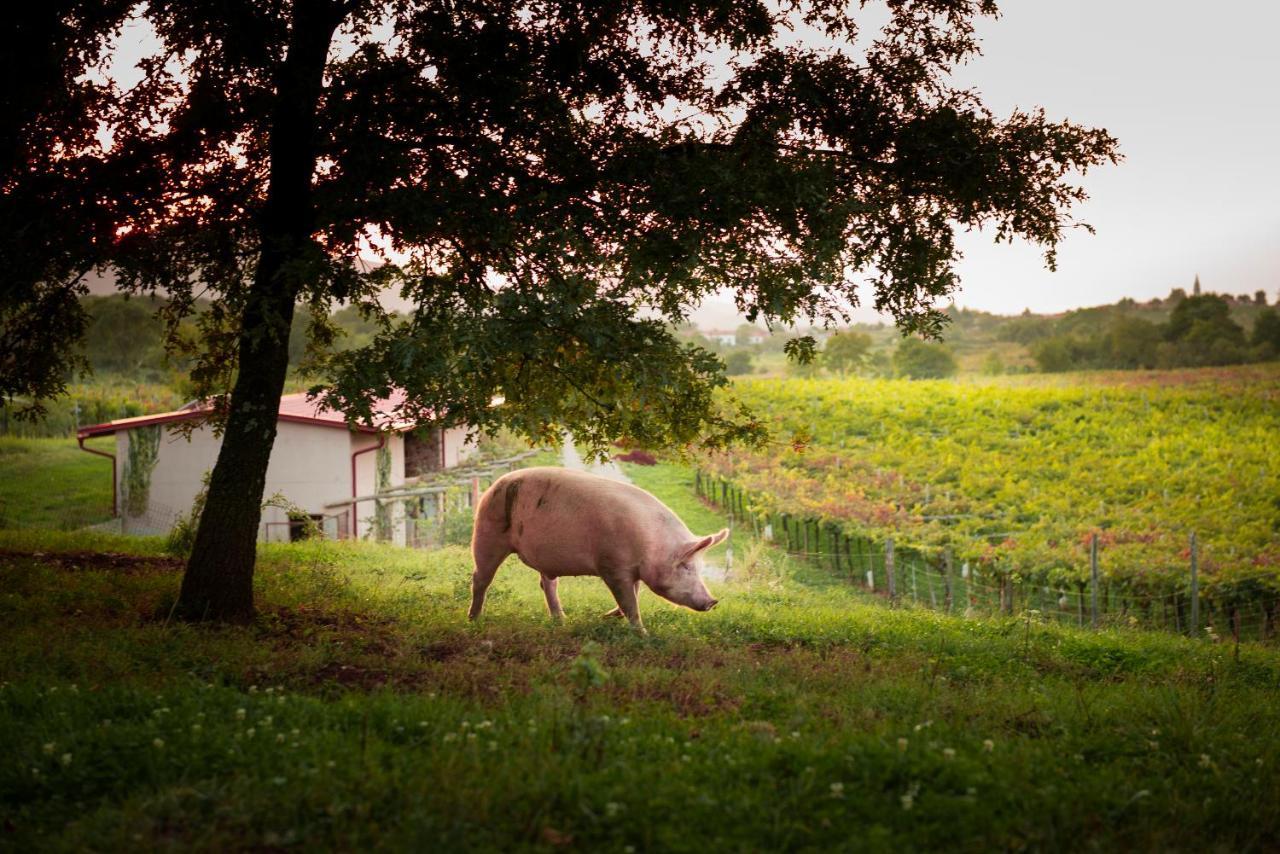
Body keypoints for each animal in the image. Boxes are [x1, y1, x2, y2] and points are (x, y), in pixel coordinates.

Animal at [471, 463, 732, 632]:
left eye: (700, 568)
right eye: (686, 567)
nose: (713, 601)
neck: (651, 545)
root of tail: (495, 484)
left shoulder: (631, 570)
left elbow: (634, 594)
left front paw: (605, 616)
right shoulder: (612, 566)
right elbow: (629, 602)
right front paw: (642, 633)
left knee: (547, 583)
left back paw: (561, 621)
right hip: (488, 533)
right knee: (480, 578)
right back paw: (474, 619)